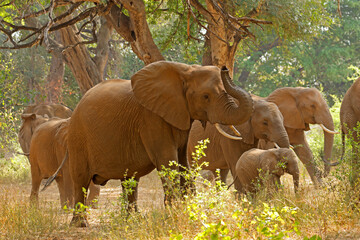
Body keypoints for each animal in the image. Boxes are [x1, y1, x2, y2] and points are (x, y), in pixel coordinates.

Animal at [60, 61, 253, 227]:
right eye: (206, 96)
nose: (224, 68)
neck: (185, 70)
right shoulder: (151, 119)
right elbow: (167, 161)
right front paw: (175, 216)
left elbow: (183, 162)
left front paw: (188, 212)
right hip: (77, 138)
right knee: (81, 180)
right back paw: (80, 224)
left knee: (131, 180)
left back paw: (133, 220)